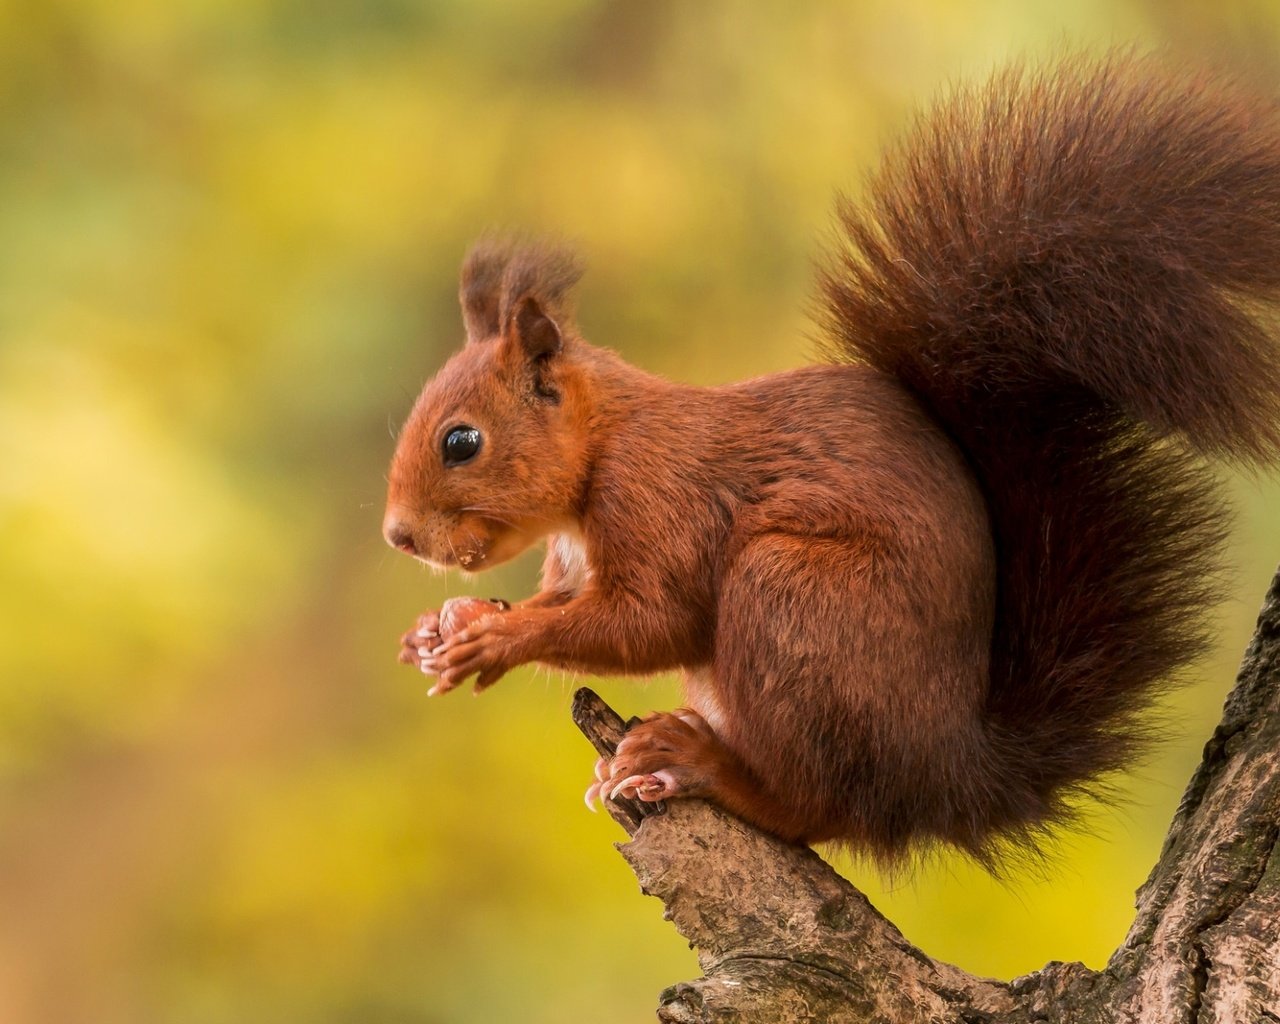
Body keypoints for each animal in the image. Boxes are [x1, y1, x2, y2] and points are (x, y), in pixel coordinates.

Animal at [378, 56, 1280, 865]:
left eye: (461, 441)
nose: (398, 537)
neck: (602, 446)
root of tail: (945, 775)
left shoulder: (659, 496)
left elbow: (651, 620)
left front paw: (495, 640)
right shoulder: (574, 556)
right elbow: (567, 602)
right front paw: (446, 624)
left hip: (795, 599)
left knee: (815, 808)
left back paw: (701, 765)